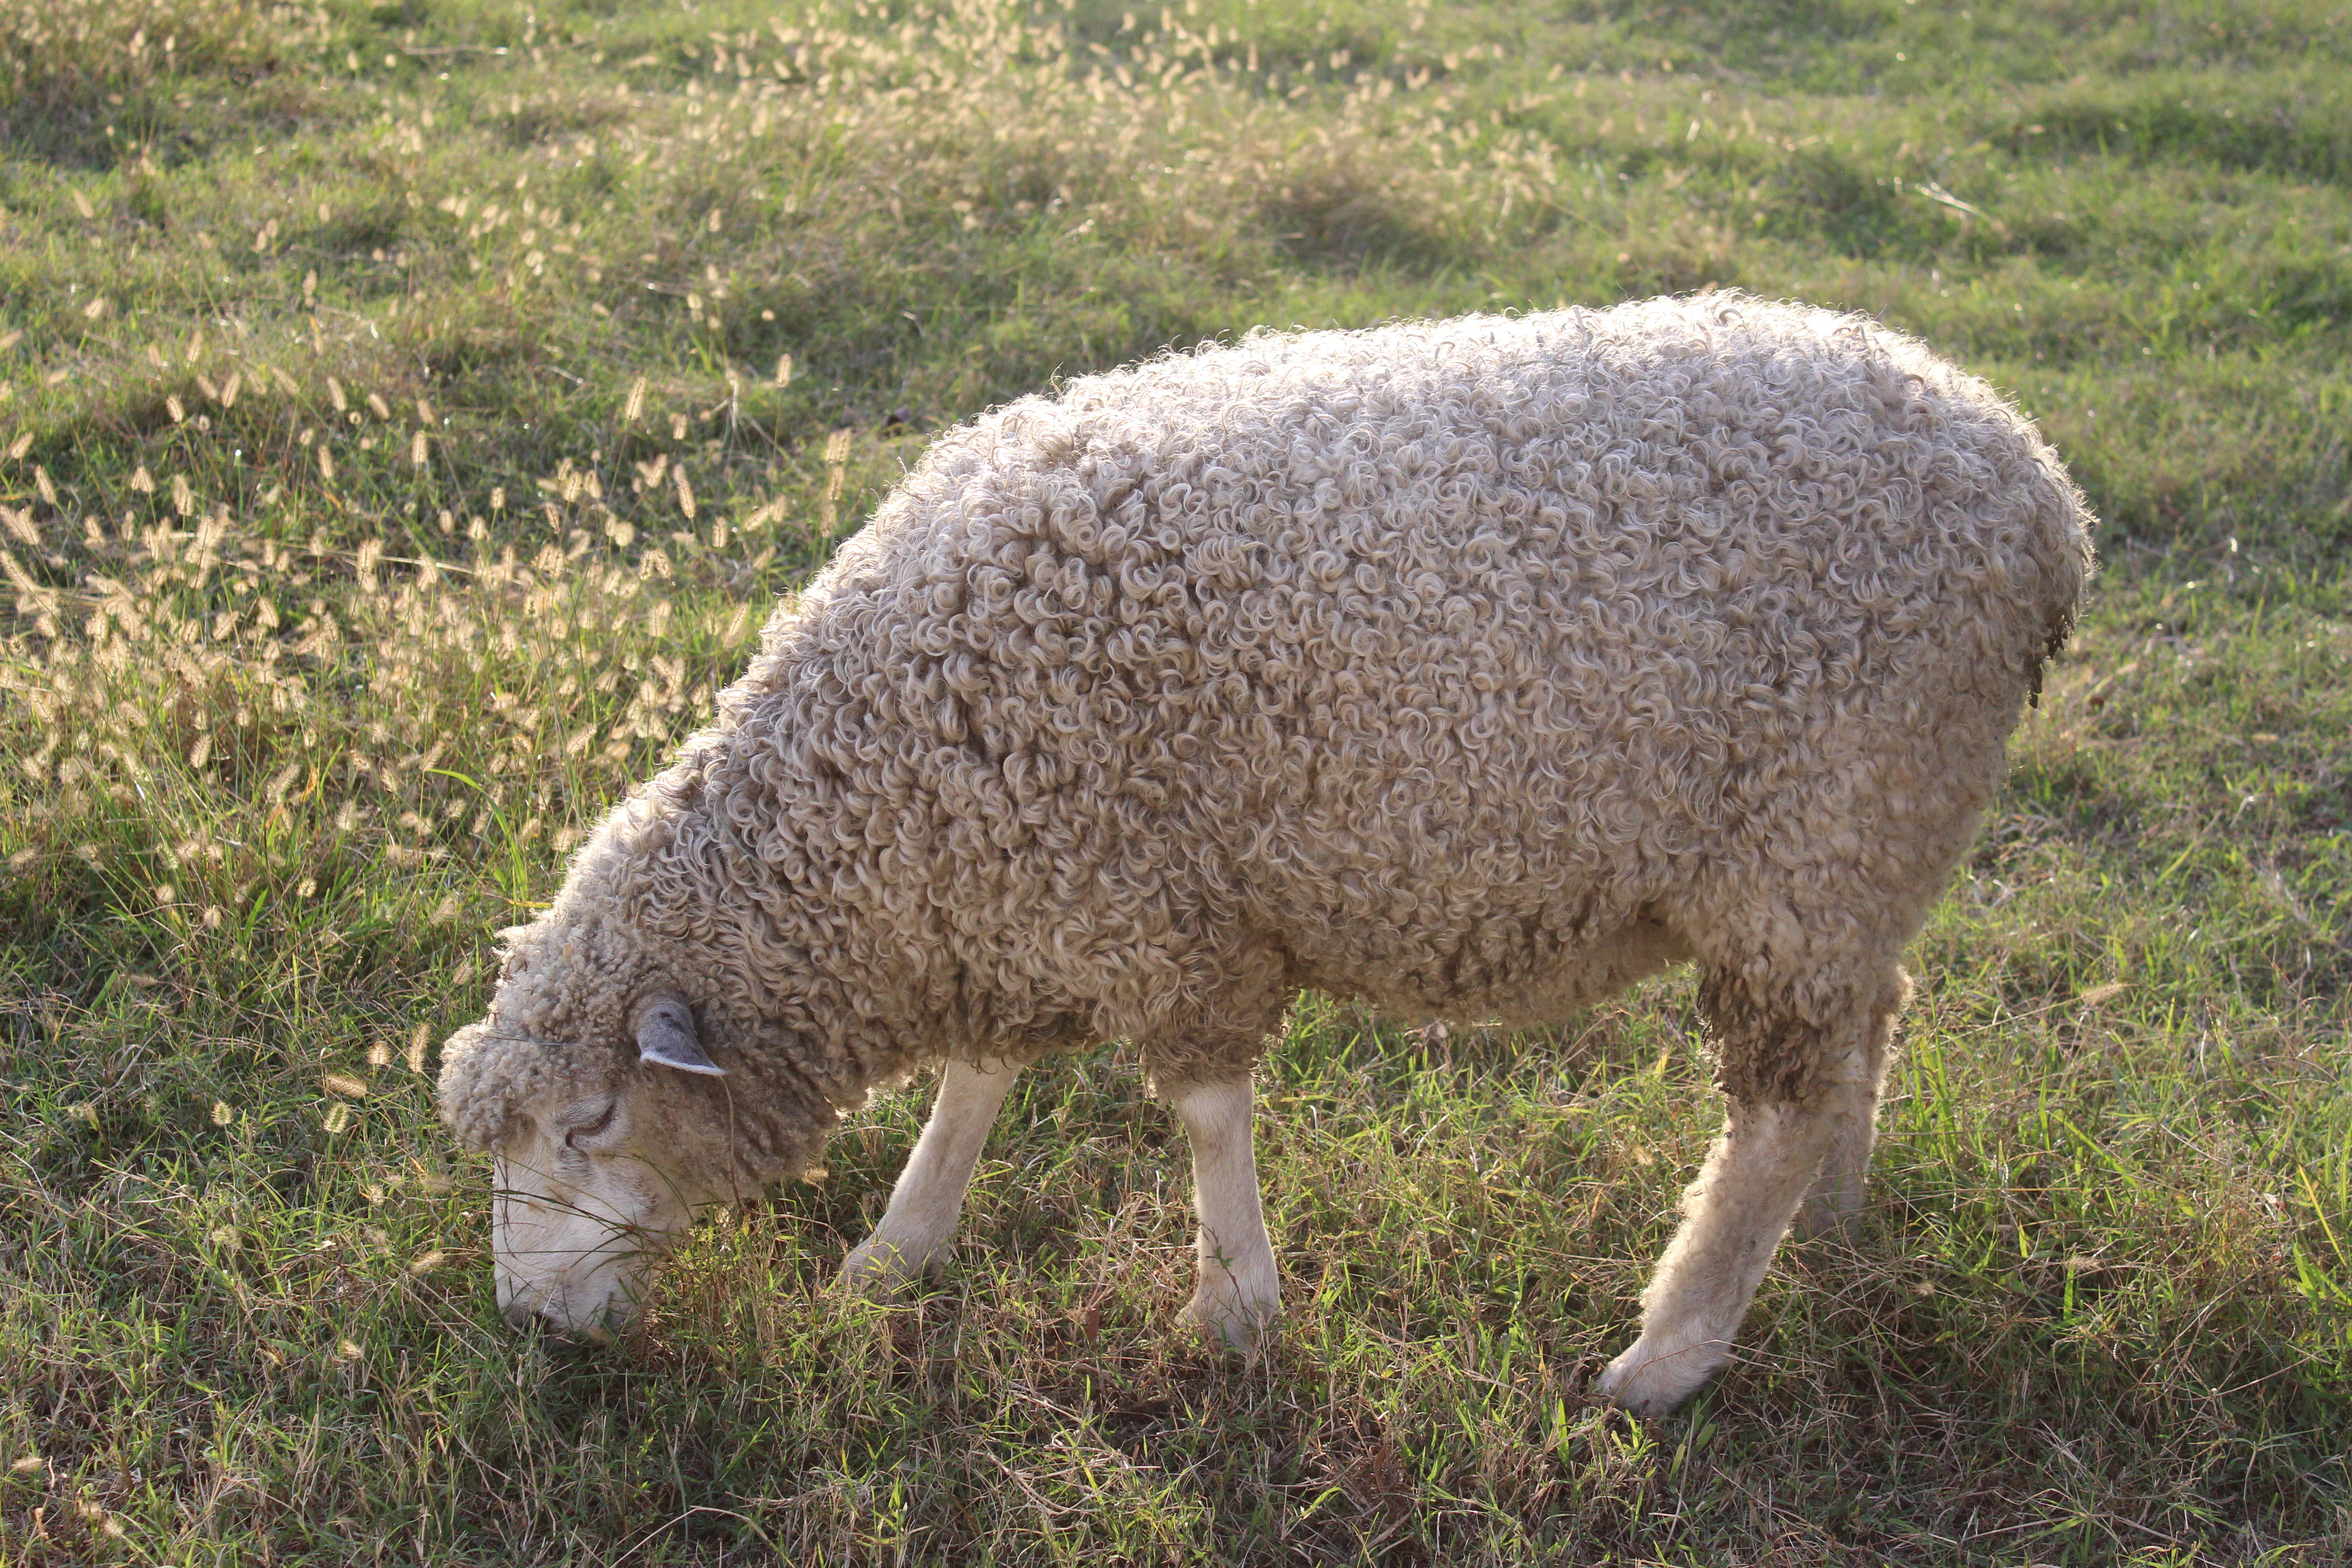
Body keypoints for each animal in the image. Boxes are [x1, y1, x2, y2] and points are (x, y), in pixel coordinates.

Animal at [437, 291, 2093, 1416]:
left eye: (589, 1123)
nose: (528, 1328)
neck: (888, 802)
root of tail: (2038, 494)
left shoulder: (1164, 910)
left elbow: (1202, 1114)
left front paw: (1234, 1305)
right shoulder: (1030, 886)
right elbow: (978, 1082)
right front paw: (898, 1251)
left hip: (1817, 834)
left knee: (1776, 1107)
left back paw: (1671, 1350)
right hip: (1868, 851)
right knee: (1867, 1028)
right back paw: (1836, 1227)